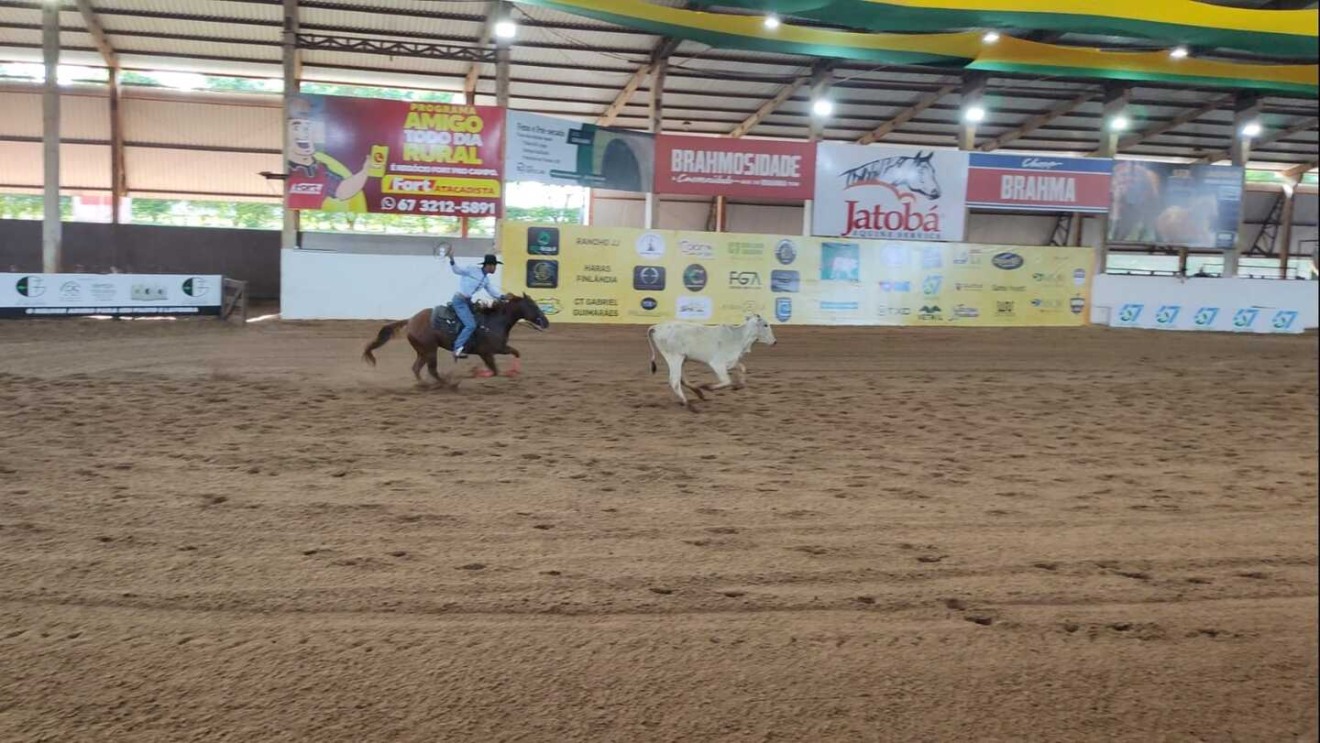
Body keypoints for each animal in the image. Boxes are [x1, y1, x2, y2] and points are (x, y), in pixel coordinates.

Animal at [359, 294, 549, 382]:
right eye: (534, 306)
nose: (546, 322)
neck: (494, 321)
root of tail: (411, 320)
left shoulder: (497, 350)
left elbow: (516, 354)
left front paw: (513, 372)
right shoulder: (490, 351)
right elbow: (495, 370)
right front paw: (474, 372)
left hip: (423, 351)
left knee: (416, 368)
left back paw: (424, 385)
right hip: (430, 350)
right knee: (431, 370)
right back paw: (443, 383)